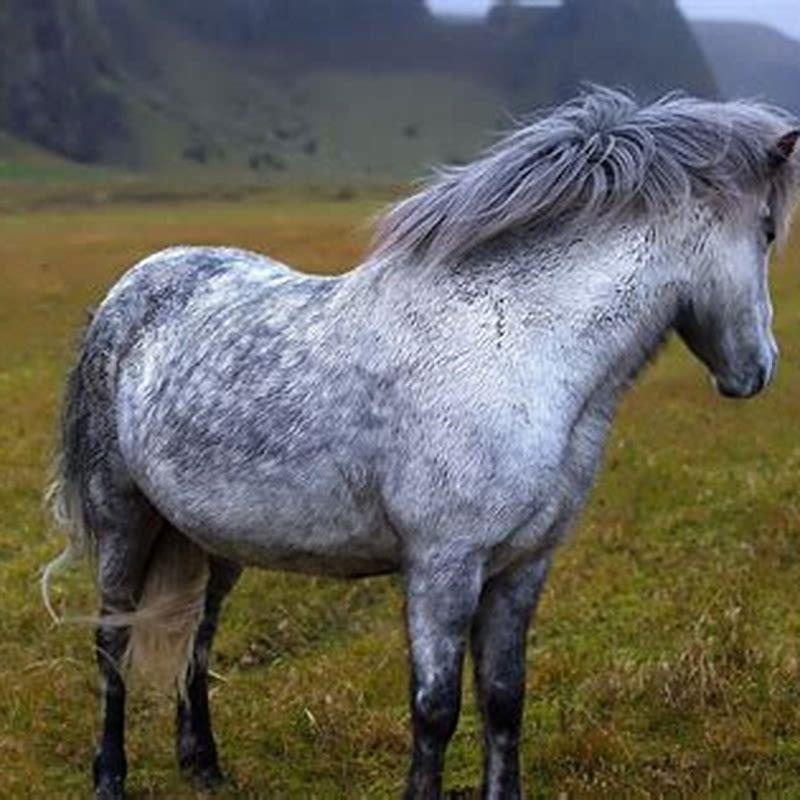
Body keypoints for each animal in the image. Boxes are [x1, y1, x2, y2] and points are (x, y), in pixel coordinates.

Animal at [43, 88, 799, 799]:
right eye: (767, 231)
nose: (757, 370)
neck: (517, 344)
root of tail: (130, 289)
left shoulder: (523, 566)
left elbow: (503, 700)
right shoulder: (444, 564)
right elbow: (435, 709)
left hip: (213, 538)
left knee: (199, 631)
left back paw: (203, 765)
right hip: (124, 517)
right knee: (112, 635)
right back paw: (109, 776)